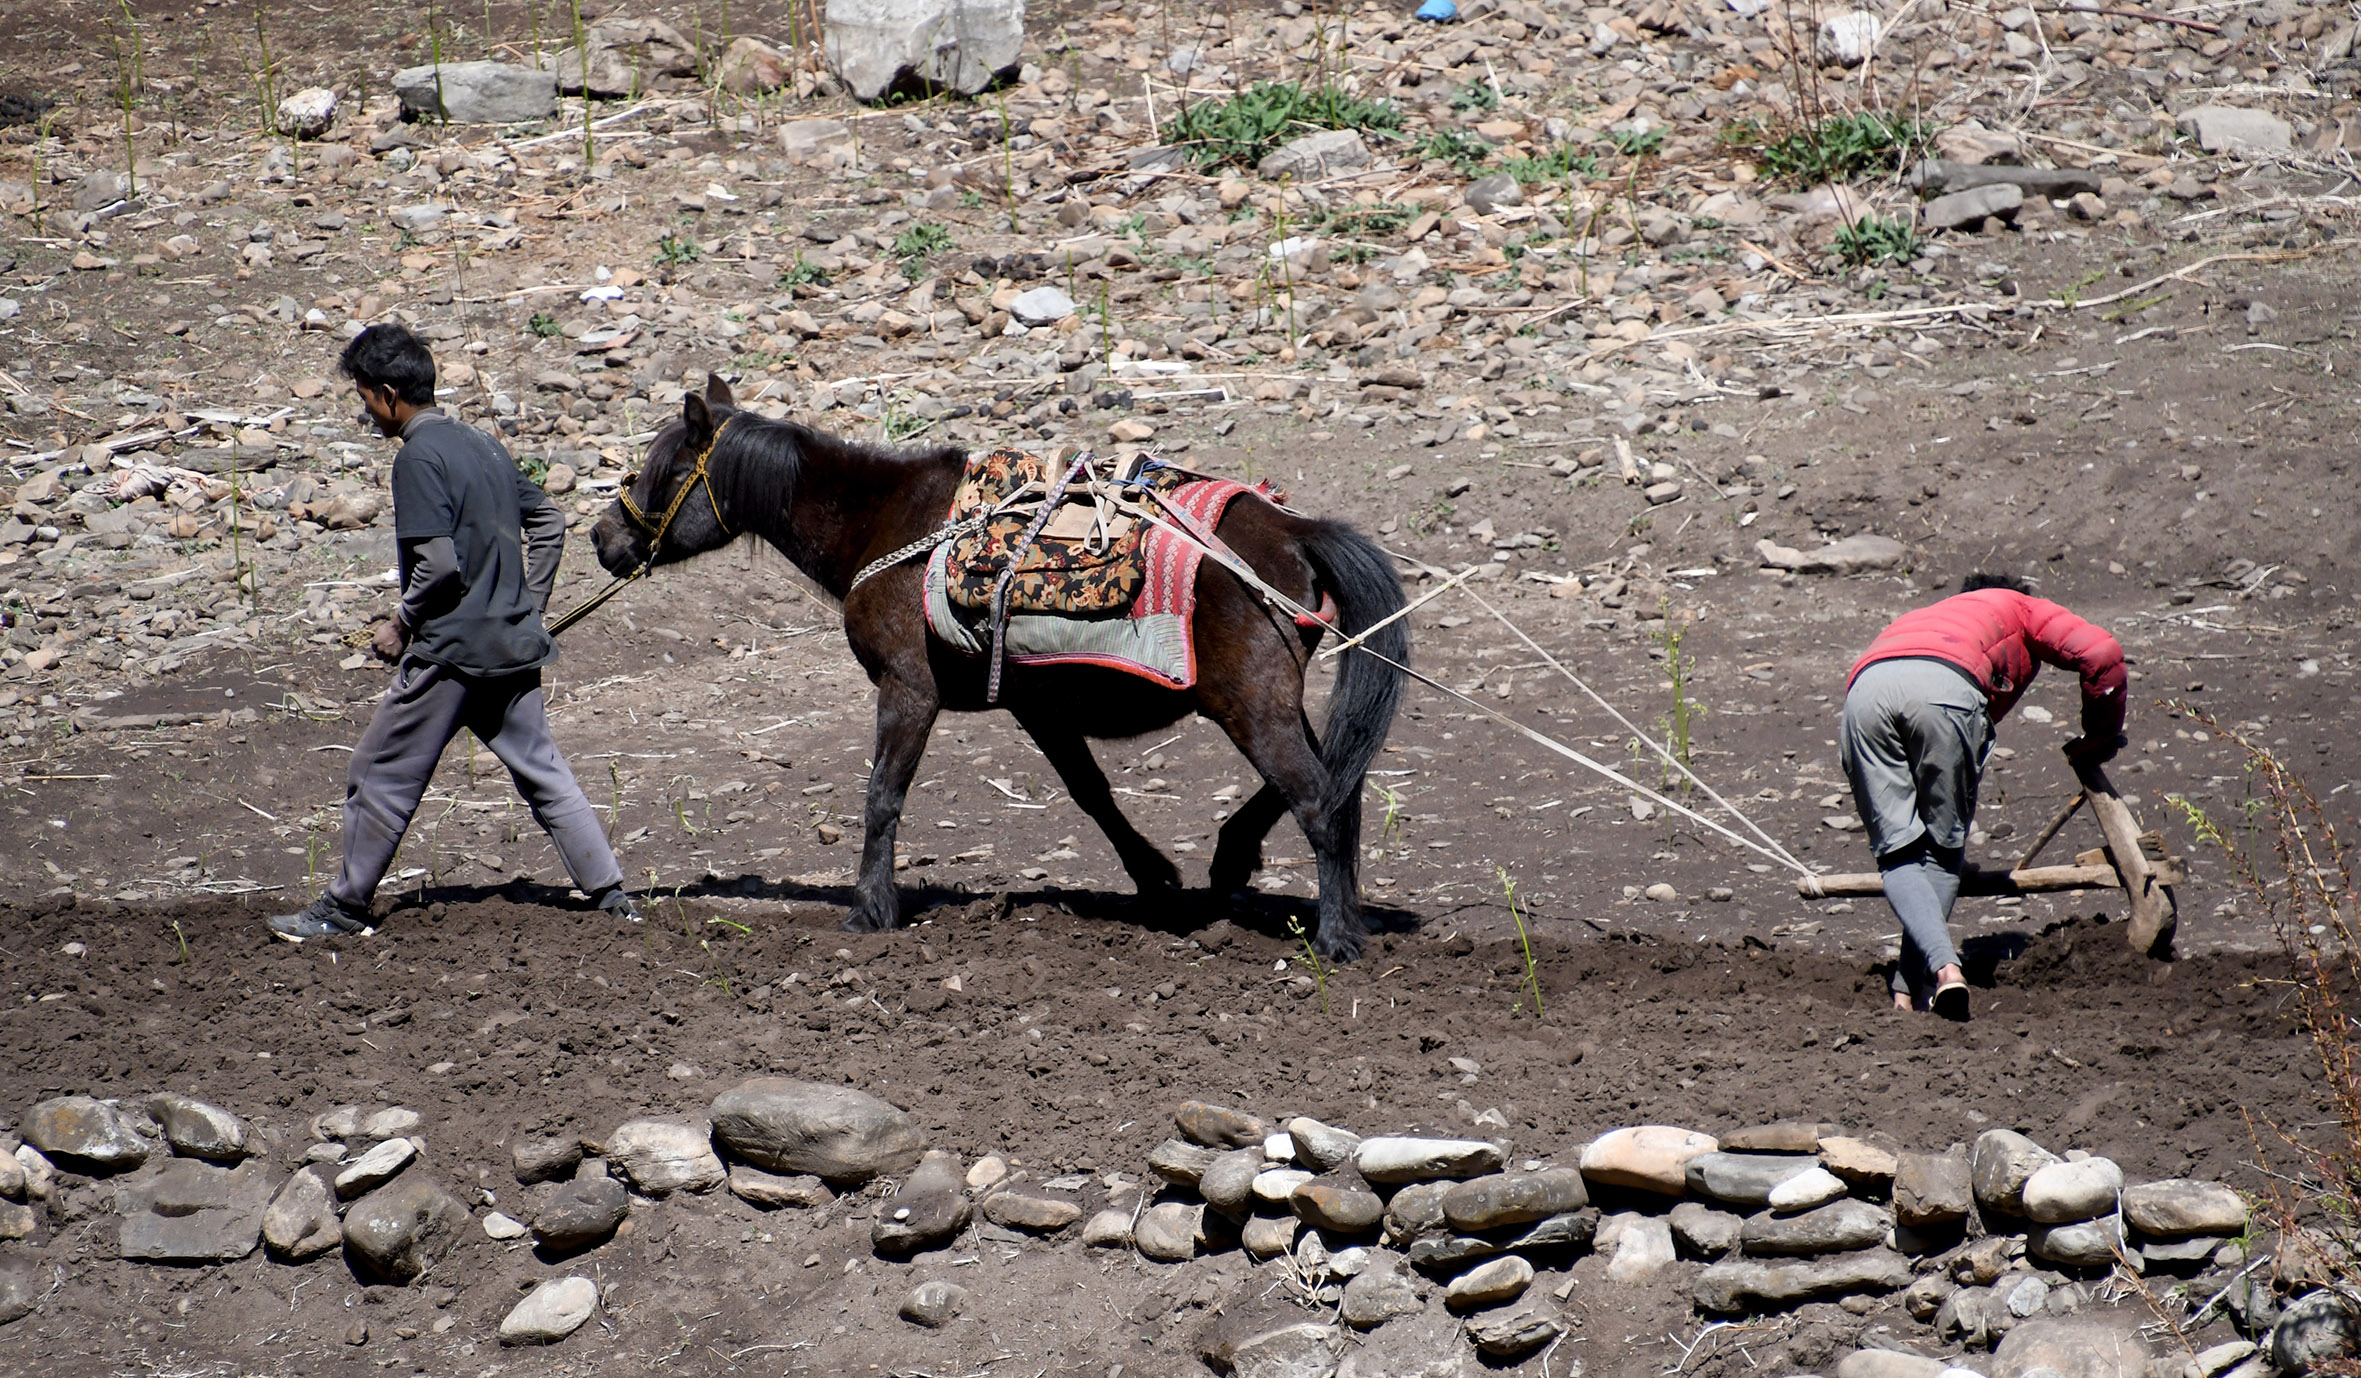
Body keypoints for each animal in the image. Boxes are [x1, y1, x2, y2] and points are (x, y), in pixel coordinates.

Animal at [590, 377, 1407, 957]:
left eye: (665, 468)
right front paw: (1157, 881)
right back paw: (1249, 868)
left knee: (1318, 797)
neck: (887, 525)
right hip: (1264, 701)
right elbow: (1091, 795)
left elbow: (882, 797)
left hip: (1252, 705)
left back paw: (1337, 937)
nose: (602, 538)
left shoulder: (908, 690)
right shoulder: (1037, 706)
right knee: (1338, 778)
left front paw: (869, 910)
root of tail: (1296, 533)